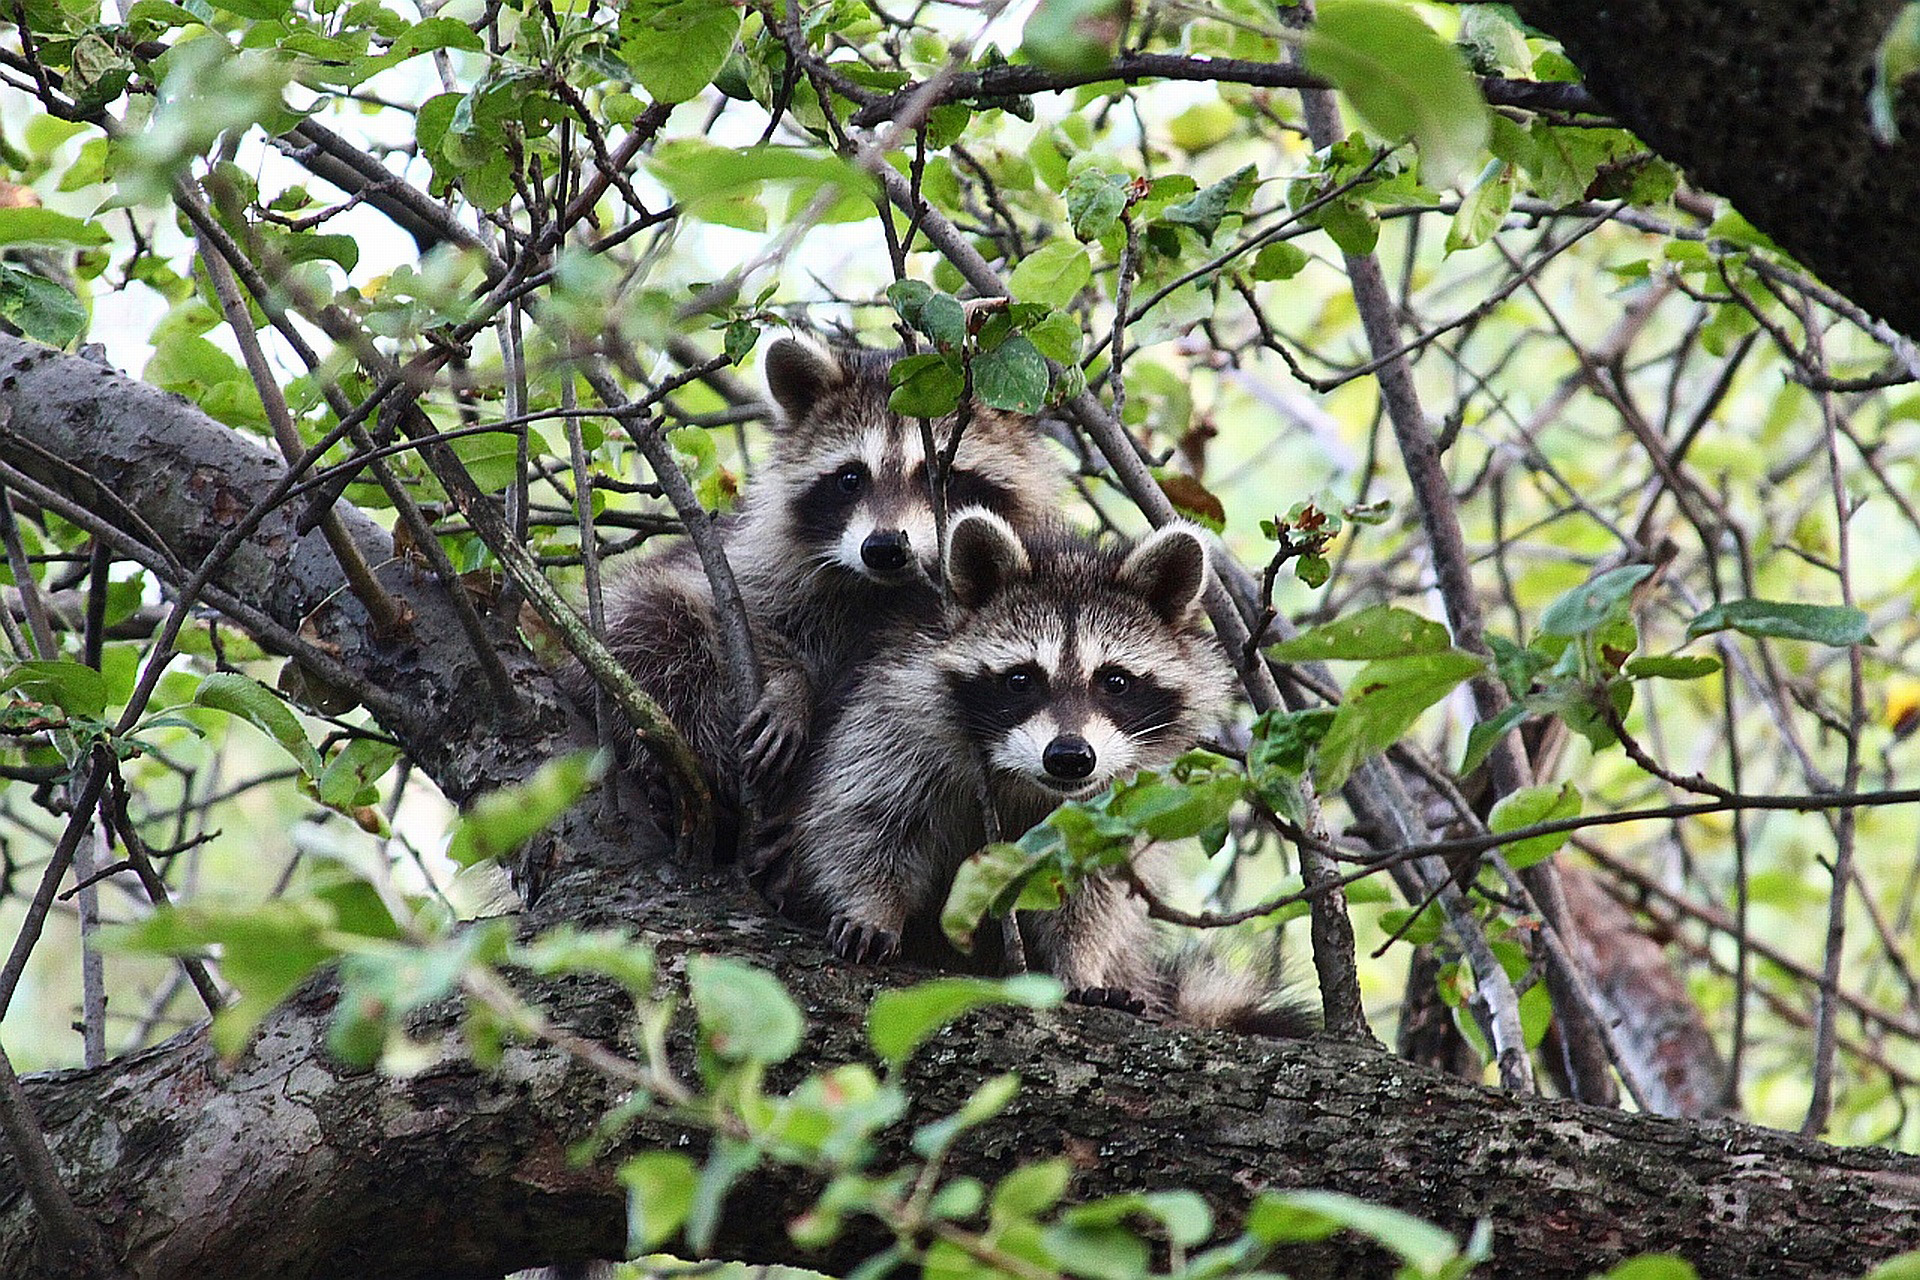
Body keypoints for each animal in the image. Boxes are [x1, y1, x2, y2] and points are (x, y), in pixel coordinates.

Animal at [771, 506, 1313, 1028]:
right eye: (1021, 679)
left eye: (1115, 681)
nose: (1069, 757)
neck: (1029, 781)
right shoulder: (894, 717)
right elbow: (865, 818)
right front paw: (872, 906)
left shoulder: (1122, 795)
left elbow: (1094, 888)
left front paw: (1080, 962)